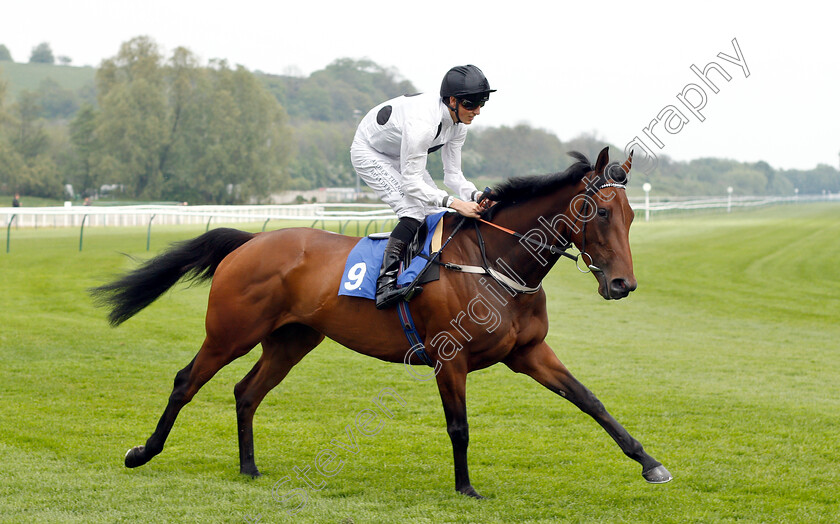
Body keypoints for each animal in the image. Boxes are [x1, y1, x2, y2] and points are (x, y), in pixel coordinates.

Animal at [90, 146, 668, 500]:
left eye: (631, 215)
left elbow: (591, 401)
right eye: (599, 213)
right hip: (231, 332)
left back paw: (249, 468)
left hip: (291, 340)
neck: (495, 264)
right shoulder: (450, 359)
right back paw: (143, 452)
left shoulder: (528, 354)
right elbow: (459, 426)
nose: (622, 284)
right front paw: (466, 488)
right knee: (187, 381)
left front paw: (649, 463)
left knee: (246, 391)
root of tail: (250, 241)